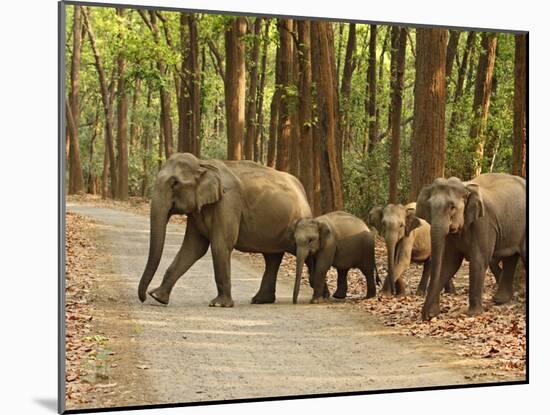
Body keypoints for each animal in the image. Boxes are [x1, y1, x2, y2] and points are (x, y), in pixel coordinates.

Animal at [137, 154, 312, 308]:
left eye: (175, 183)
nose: (144, 297)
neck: (203, 164)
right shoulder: (197, 211)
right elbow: (193, 248)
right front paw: (157, 297)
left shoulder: (228, 201)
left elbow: (220, 245)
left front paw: (219, 304)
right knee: (272, 258)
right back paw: (260, 300)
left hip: (298, 221)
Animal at [416, 174, 528, 320]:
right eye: (429, 207)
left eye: (452, 207)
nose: (425, 317)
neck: (466, 186)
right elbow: (449, 263)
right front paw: (434, 313)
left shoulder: (483, 223)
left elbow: (478, 261)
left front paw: (473, 313)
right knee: (510, 257)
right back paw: (500, 300)